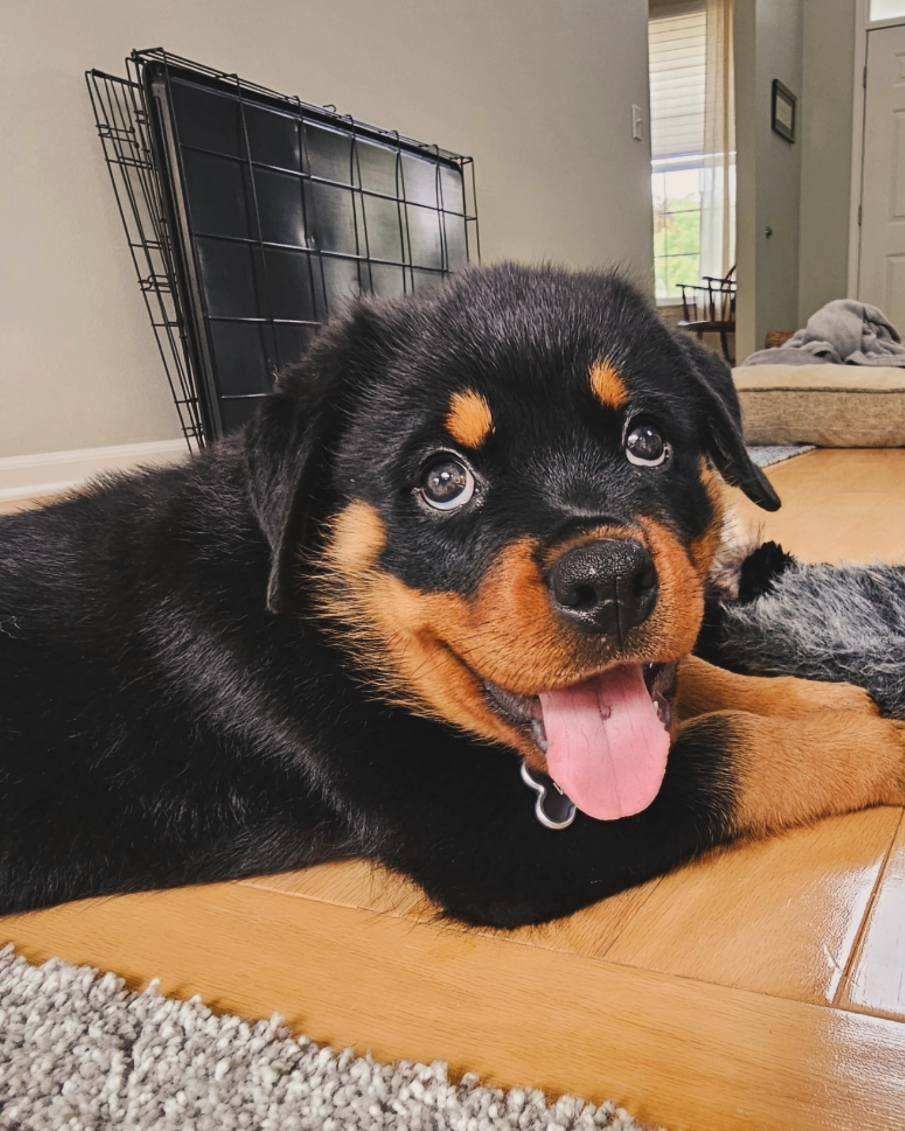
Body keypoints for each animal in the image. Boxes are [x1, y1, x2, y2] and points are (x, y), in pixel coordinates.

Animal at [1, 266, 905, 927]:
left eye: (645, 440)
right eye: (443, 480)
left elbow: (696, 683)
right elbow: (734, 750)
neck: (319, 617)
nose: (608, 581)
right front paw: (877, 741)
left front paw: (820, 696)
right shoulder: (490, 838)